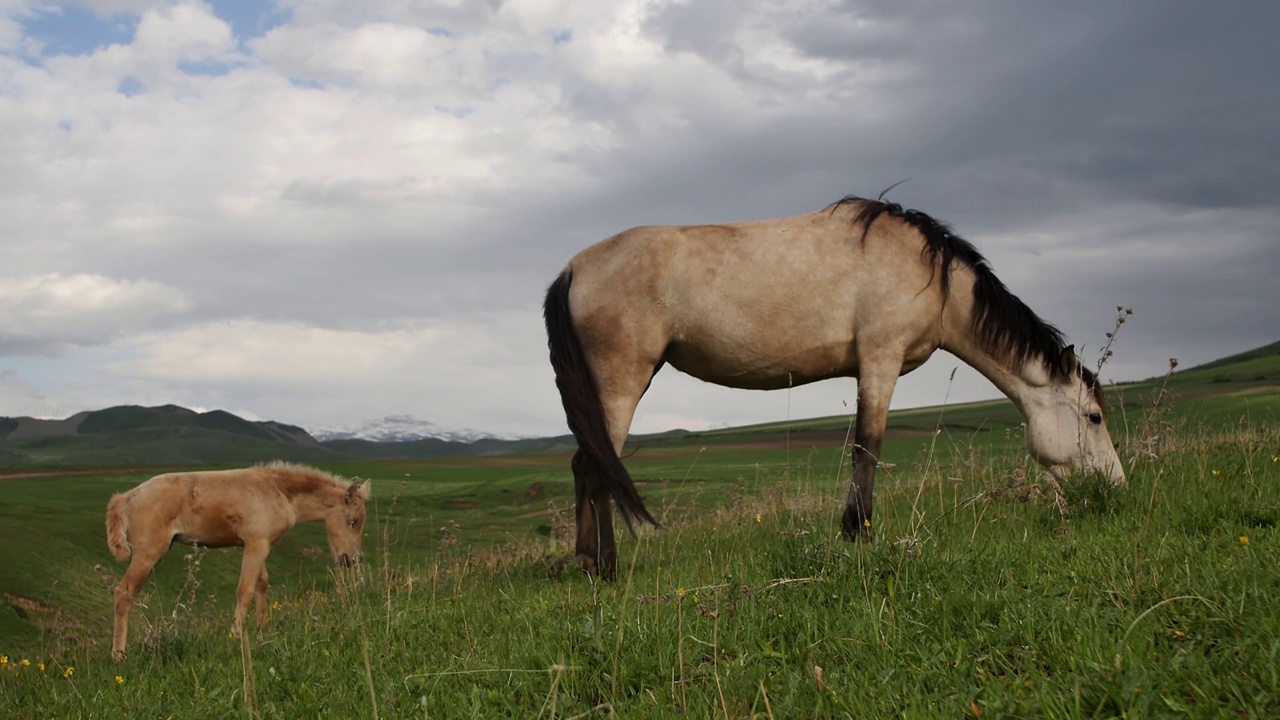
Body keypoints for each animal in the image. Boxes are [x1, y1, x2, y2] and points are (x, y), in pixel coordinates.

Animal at [103, 461, 371, 661]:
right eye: (353, 521)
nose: (352, 559)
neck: (279, 491)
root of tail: (127, 497)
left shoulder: (261, 544)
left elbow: (261, 584)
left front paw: (263, 629)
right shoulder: (256, 544)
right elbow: (245, 589)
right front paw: (235, 636)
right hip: (149, 553)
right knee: (123, 593)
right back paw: (118, 655)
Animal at [545, 194, 1126, 576]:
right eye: (1094, 417)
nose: (1116, 488)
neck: (926, 273)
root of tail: (574, 268)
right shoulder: (880, 359)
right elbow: (867, 448)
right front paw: (858, 534)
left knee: (581, 465)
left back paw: (584, 561)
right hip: (621, 382)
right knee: (598, 469)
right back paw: (607, 568)